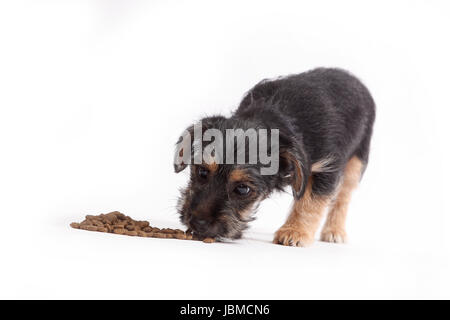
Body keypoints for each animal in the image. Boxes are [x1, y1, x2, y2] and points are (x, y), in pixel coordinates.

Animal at [174, 68, 374, 248]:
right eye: (202, 172)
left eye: (243, 189)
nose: (198, 222)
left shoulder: (325, 168)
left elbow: (310, 202)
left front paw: (295, 231)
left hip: (356, 162)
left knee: (343, 197)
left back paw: (334, 231)